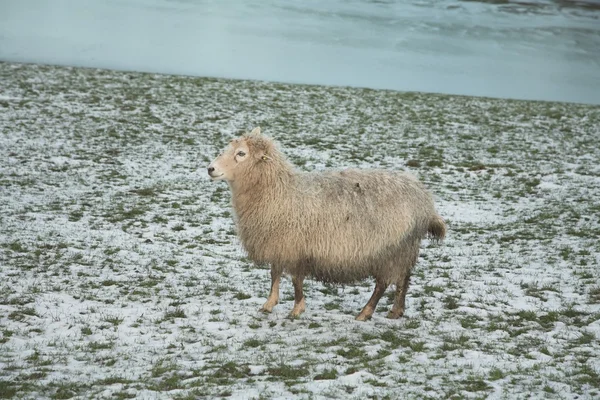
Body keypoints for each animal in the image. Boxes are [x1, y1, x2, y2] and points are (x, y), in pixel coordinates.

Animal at [207, 126, 446, 320]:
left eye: (241, 153)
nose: (210, 168)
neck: (278, 192)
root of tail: (424, 199)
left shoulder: (296, 246)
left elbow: (296, 280)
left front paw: (296, 309)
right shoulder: (280, 244)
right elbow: (274, 274)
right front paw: (269, 304)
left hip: (390, 250)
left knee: (383, 284)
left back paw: (365, 313)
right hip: (405, 249)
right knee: (404, 280)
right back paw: (396, 311)